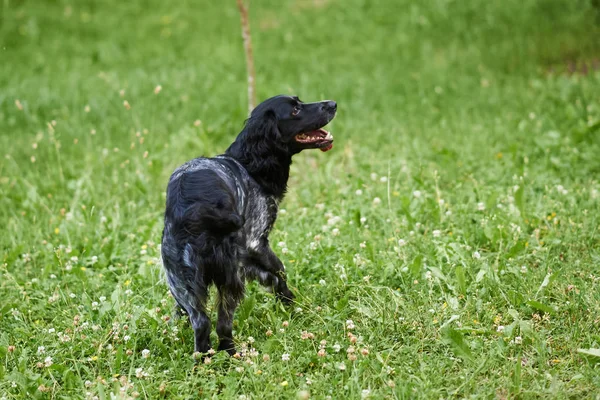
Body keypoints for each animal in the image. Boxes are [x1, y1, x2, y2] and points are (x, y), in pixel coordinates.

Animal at [162, 95, 336, 354]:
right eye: (295, 109)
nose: (333, 104)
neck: (247, 163)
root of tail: (195, 206)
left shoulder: (245, 259)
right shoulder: (255, 243)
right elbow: (280, 274)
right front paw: (292, 307)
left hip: (182, 279)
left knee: (201, 323)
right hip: (229, 278)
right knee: (222, 324)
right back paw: (232, 353)